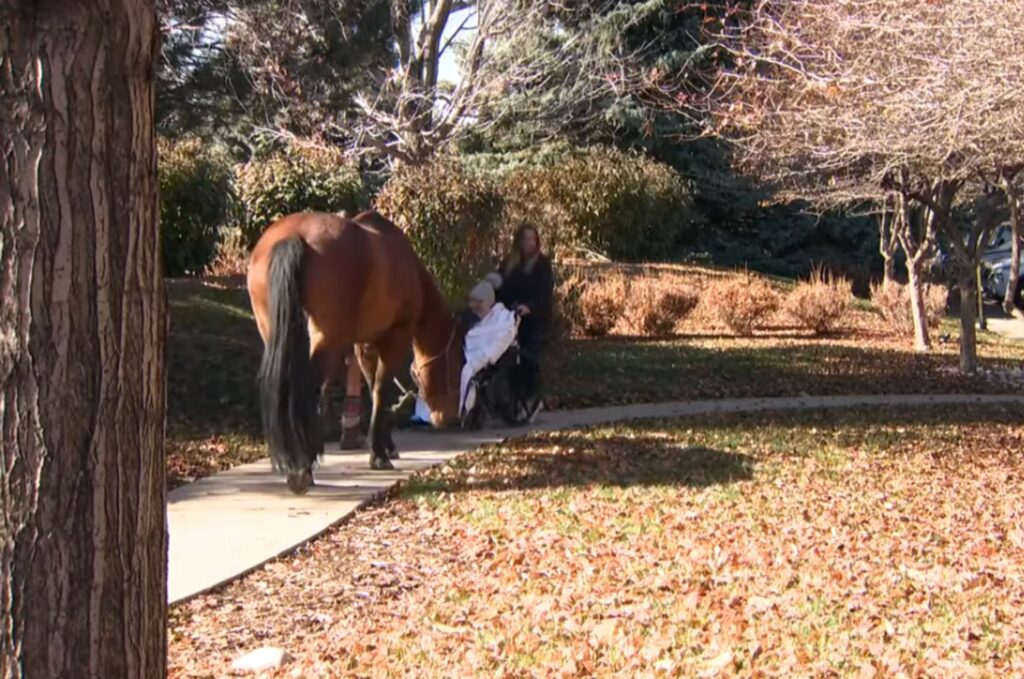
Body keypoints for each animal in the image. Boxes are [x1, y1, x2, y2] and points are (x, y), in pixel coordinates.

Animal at [246, 209, 460, 491]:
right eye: (459, 360)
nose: (450, 416)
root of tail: (293, 237)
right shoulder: (394, 338)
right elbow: (380, 389)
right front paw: (379, 454)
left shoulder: (363, 344)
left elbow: (374, 388)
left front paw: (385, 446)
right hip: (326, 339)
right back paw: (302, 466)